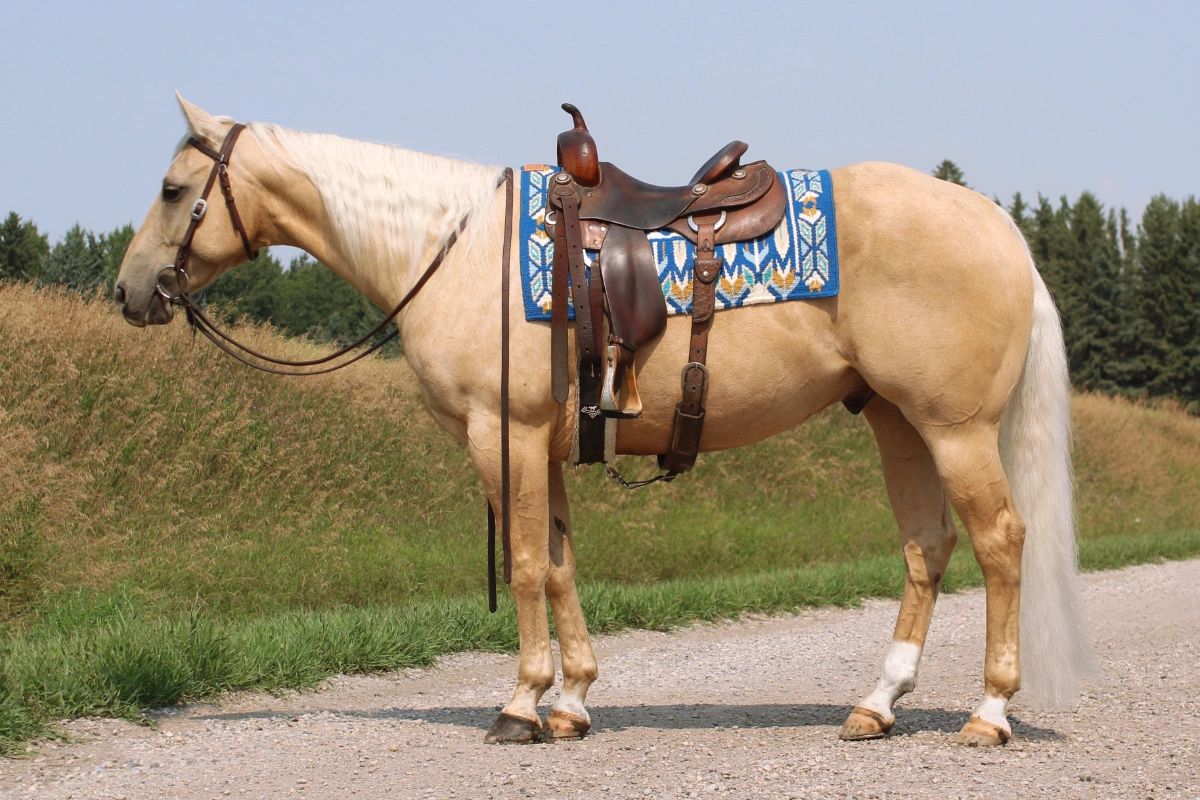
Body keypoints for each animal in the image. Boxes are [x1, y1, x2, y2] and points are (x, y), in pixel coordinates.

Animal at [115, 94, 1091, 747]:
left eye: (170, 188)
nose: (129, 292)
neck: (453, 249)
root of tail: (999, 226)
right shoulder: (541, 447)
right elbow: (559, 563)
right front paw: (573, 700)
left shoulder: (500, 436)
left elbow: (524, 565)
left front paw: (521, 704)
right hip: (897, 421)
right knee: (928, 547)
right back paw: (876, 706)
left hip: (955, 428)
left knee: (1000, 541)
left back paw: (990, 712)